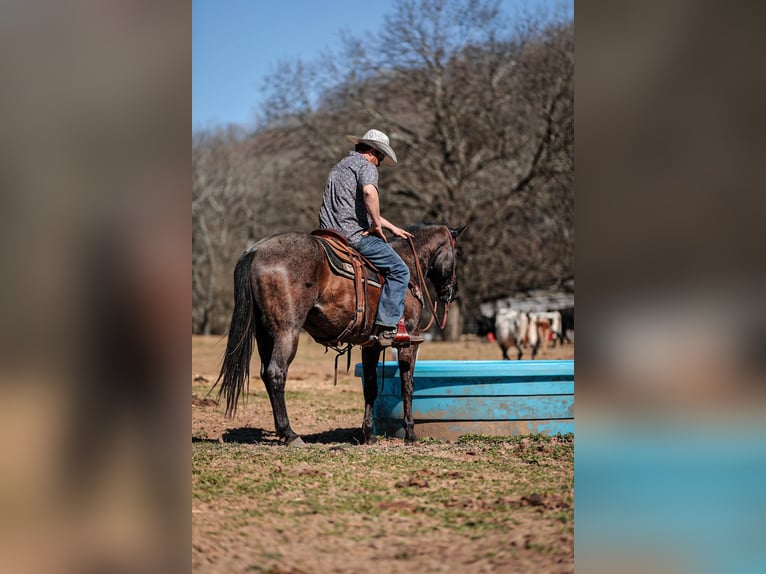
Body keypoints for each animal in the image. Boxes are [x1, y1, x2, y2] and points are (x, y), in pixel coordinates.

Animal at [216, 224, 468, 446]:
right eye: (456, 253)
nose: (452, 292)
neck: (408, 265)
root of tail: (255, 251)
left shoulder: (371, 345)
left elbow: (371, 386)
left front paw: (369, 435)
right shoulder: (409, 342)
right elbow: (408, 386)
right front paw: (410, 435)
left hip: (264, 335)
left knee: (265, 373)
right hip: (287, 332)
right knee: (276, 373)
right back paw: (290, 434)